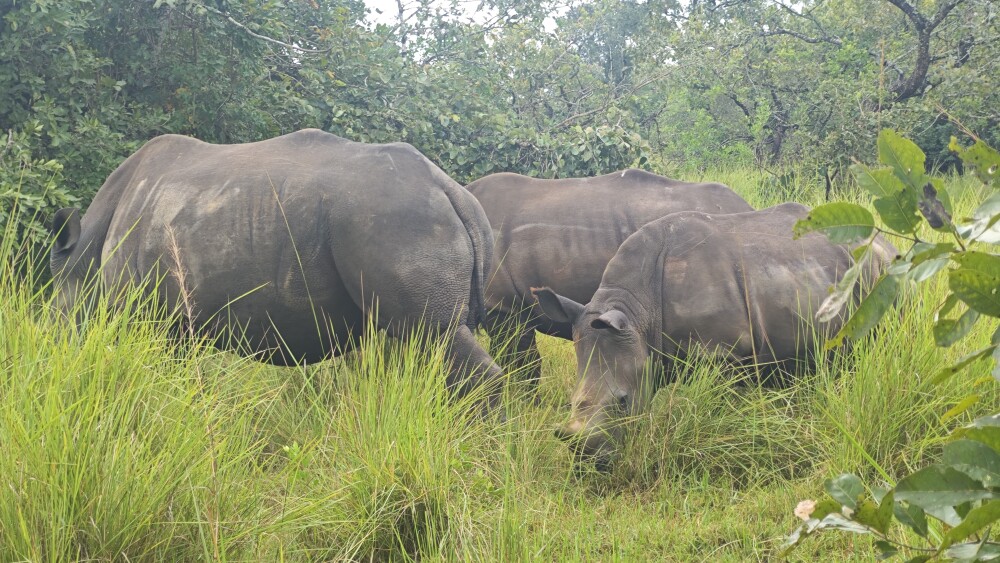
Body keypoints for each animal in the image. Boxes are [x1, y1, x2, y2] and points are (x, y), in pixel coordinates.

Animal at [49, 129, 503, 406]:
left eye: (58, 314)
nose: (58, 354)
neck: (84, 254)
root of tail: (451, 190)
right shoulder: (177, 320)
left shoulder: (149, 316)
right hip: (408, 220)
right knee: (429, 347)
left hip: (400, 220)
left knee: (434, 335)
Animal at [532, 203, 895, 465]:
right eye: (570, 401)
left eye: (623, 402)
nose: (589, 463)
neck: (637, 312)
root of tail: (886, 243)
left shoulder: (722, 352)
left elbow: (715, 409)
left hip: (884, 272)